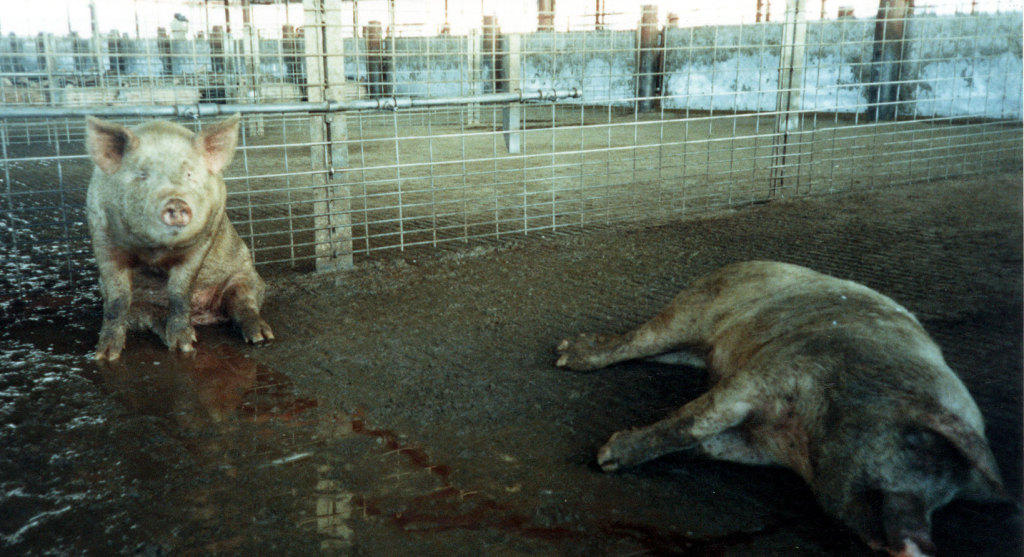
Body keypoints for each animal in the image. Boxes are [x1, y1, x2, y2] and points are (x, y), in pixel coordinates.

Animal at [86, 114, 274, 358]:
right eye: (142, 174)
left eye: (189, 174)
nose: (175, 201)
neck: (156, 252)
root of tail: (204, 316)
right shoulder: (101, 234)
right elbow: (117, 299)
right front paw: (105, 355)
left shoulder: (205, 236)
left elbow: (179, 291)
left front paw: (185, 347)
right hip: (140, 307)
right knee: (150, 314)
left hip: (246, 277)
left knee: (243, 303)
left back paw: (262, 337)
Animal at [557, 261, 1003, 557]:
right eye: (921, 451)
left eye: (944, 499)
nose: (925, 543)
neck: (805, 443)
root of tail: (748, 261)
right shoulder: (770, 372)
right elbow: (695, 419)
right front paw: (606, 458)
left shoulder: (758, 447)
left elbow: (707, 443)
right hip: (693, 308)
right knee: (638, 339)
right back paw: (566, 355)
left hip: (689, 348)